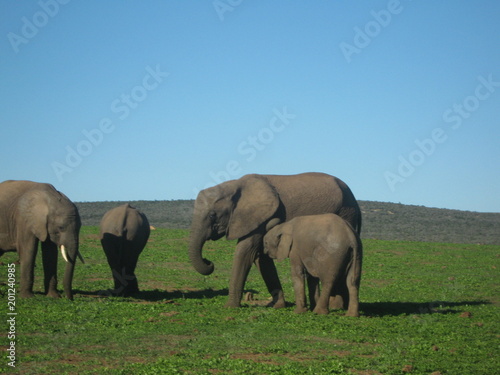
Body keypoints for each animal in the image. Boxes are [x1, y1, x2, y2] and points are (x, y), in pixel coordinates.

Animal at [188, 173, 360, 308]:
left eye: (212, 215)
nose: (208, 262)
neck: (235, 185)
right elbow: (260, 257)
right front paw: (277, 305)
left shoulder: (260, 217)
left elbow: (245, 251)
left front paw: (230, 307)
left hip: (347, 212)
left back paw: (336, 306)